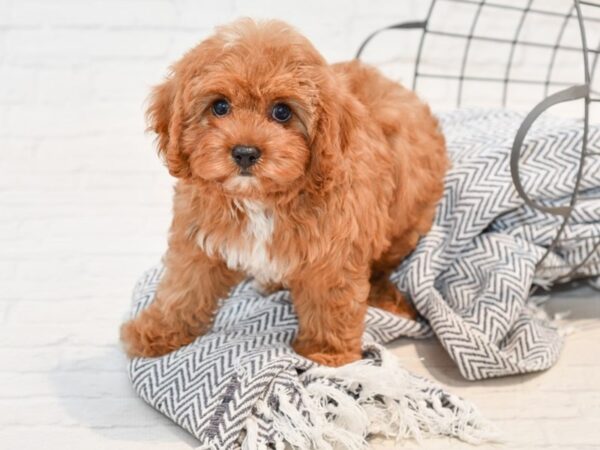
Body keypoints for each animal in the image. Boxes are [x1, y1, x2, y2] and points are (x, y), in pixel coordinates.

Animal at [120, 19, 446, 368]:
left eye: (282, 112)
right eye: (220, 106)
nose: (245, 153)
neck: (262, 199)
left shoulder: (332, 252)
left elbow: (329, 302)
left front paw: (326, 353)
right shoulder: (199, 237)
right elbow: (184, 287)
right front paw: (156, 332)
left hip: (407, 216)